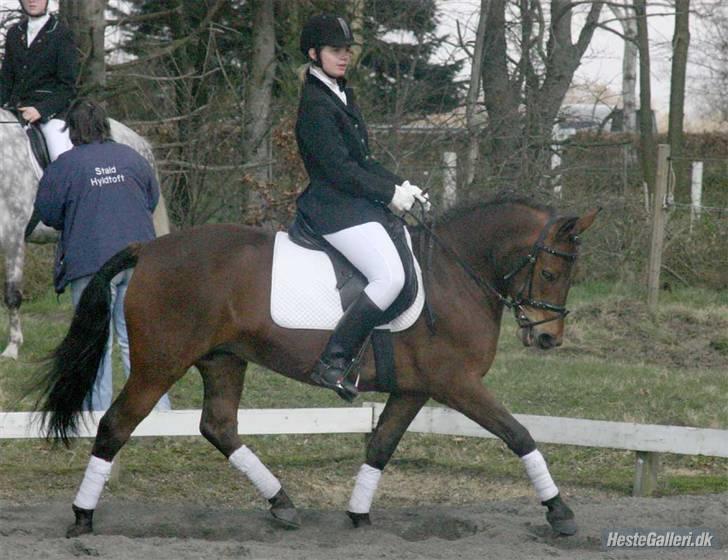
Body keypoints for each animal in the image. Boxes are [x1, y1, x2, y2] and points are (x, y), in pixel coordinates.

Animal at [35, 198, 596, 540]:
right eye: (550, 272)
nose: (548, 337)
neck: (454, 274)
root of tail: (149, 248)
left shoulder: (415, 390)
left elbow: (380, 445)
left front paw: (359, 514)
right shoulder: (457, 384)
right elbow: (518, 434)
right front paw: (560, 512)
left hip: (223, 359)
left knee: (218, 426)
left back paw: (282, 503)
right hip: (160, 363)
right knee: (116, 425)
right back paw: (83, 518)